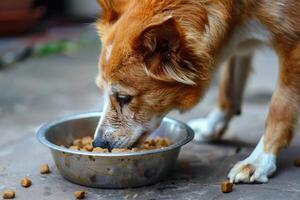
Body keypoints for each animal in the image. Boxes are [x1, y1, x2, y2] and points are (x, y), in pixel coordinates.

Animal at [93, 0, 300, 184]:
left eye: (124, 98)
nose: (97, 144)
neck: (236, 8)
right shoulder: (236, 39)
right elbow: (227, 92)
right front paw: (211, 128)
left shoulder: (294, 47)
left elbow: (279, 109)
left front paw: (260, 160)